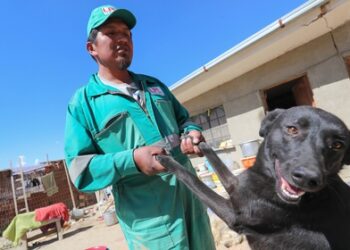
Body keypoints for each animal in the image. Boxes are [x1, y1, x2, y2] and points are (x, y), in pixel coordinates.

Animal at [157, 106, 350, 250]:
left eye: (338, 145)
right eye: (292, 129)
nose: (308, 178)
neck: (268, 181)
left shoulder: (233, 215)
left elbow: (192, 179)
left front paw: (165, 159)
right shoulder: (236, 185)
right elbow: (216, 161)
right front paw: (199, 142)